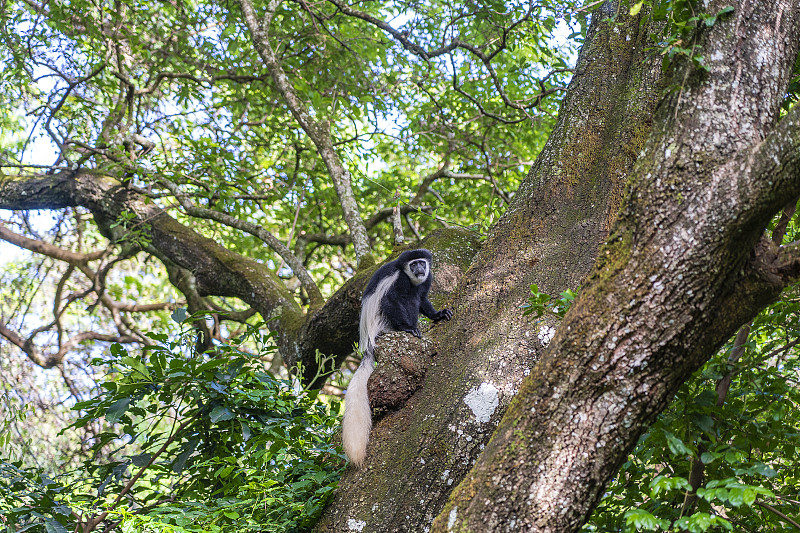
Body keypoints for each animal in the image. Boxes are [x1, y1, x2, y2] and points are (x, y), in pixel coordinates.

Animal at [342, 248, 454, 466]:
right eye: (413, 264)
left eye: (421, 263)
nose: (419, 269)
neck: (412, 278)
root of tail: (370, 342)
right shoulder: (399, 280)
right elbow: (391, 299)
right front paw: (408, 327)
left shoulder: (427, 279)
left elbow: (423, 299)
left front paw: (438, 314)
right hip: (383, 322)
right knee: (403, 301)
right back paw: (409, 328)